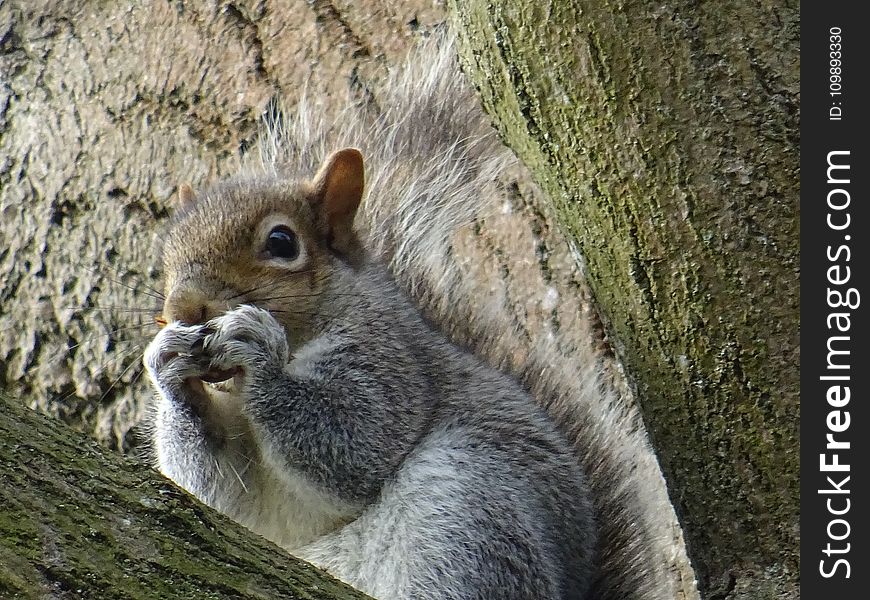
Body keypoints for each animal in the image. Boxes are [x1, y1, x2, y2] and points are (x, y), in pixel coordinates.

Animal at [145, 30, 680, 600]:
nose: (182, 308)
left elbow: (357, 441)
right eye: (169, 252)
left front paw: (258, 354)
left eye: (282, 242)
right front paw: (169, 367)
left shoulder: (391, 359)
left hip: (462, 507)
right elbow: (224, 489)